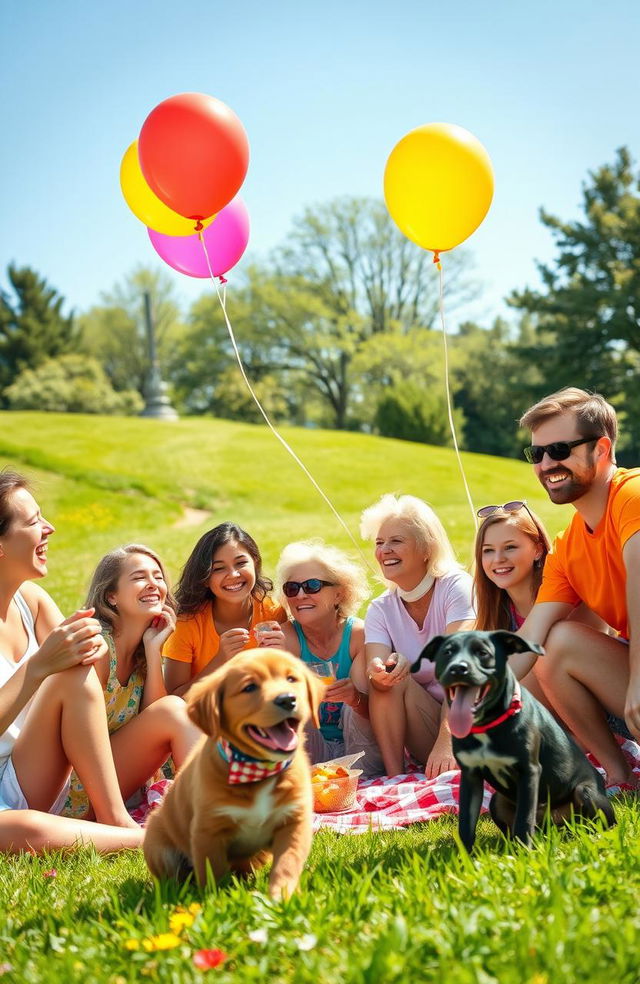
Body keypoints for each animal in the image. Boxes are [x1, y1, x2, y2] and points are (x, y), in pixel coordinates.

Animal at [147, 648, 322, 896]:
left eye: (291, 679)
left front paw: (282, 896)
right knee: (172, 877)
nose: (288, 699)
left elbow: (287, 864)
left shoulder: (293, 822)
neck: (257, 769)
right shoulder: (208, 830)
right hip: (156, 843)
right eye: (249, 687)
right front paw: (217, 899)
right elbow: (214, 873)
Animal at [410, 636, 616, 848]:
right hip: (497, 801)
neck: (487, 725)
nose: (458, 669)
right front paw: (465, 855)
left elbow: (524, 819)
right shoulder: (470, 776)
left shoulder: (529, 772)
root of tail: (553, 825)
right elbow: (466, 824)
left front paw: (526, 851)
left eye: (483, 653)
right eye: (447, 652)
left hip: (586, 793)